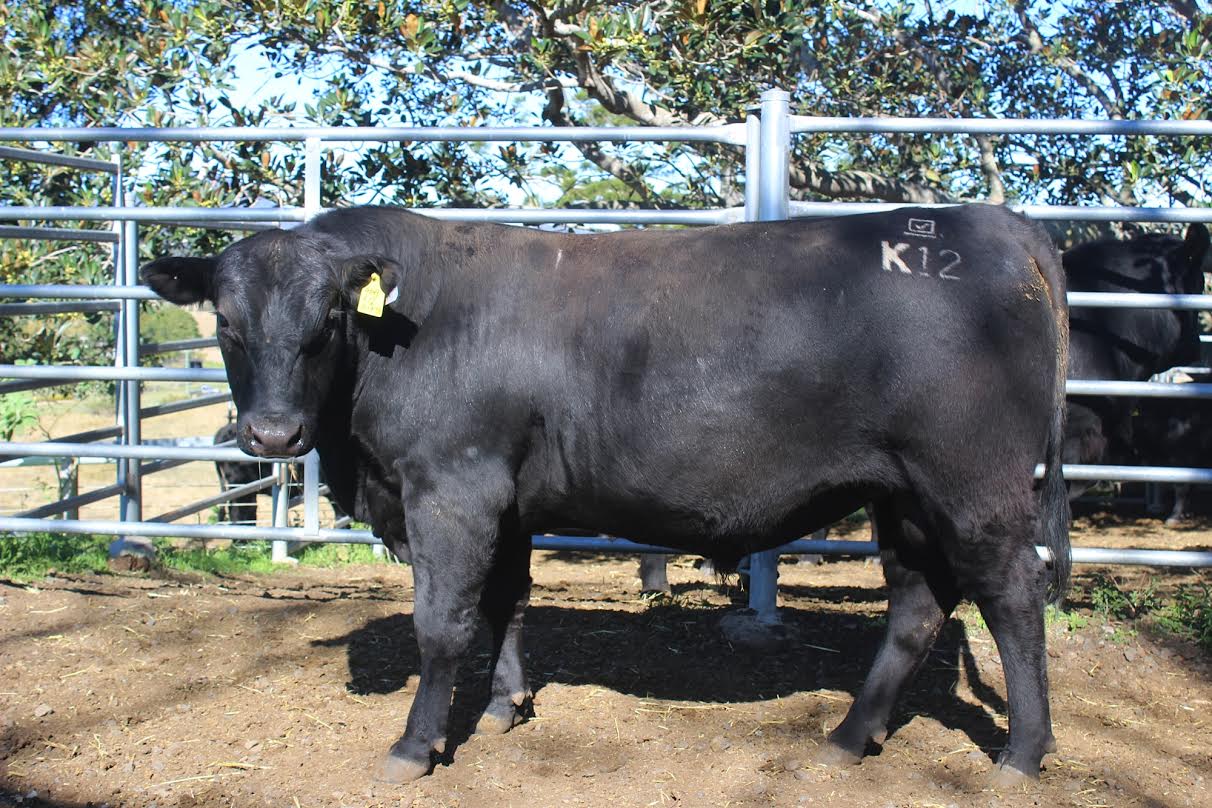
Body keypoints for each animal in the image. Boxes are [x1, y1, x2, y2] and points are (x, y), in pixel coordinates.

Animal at [141, 203, 1070, 787]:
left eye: (328, 319)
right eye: (226, 324)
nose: (270, 436)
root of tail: (994, 221)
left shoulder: (451, 487)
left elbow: (442, 624)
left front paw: (414, 745)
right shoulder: (505, 500)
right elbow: (508, 601)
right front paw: (505, 708)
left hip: (971, 483)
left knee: (1012, 596)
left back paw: (1022, 755)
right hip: (902, 494)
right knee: (918, 603)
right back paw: (848, 736)